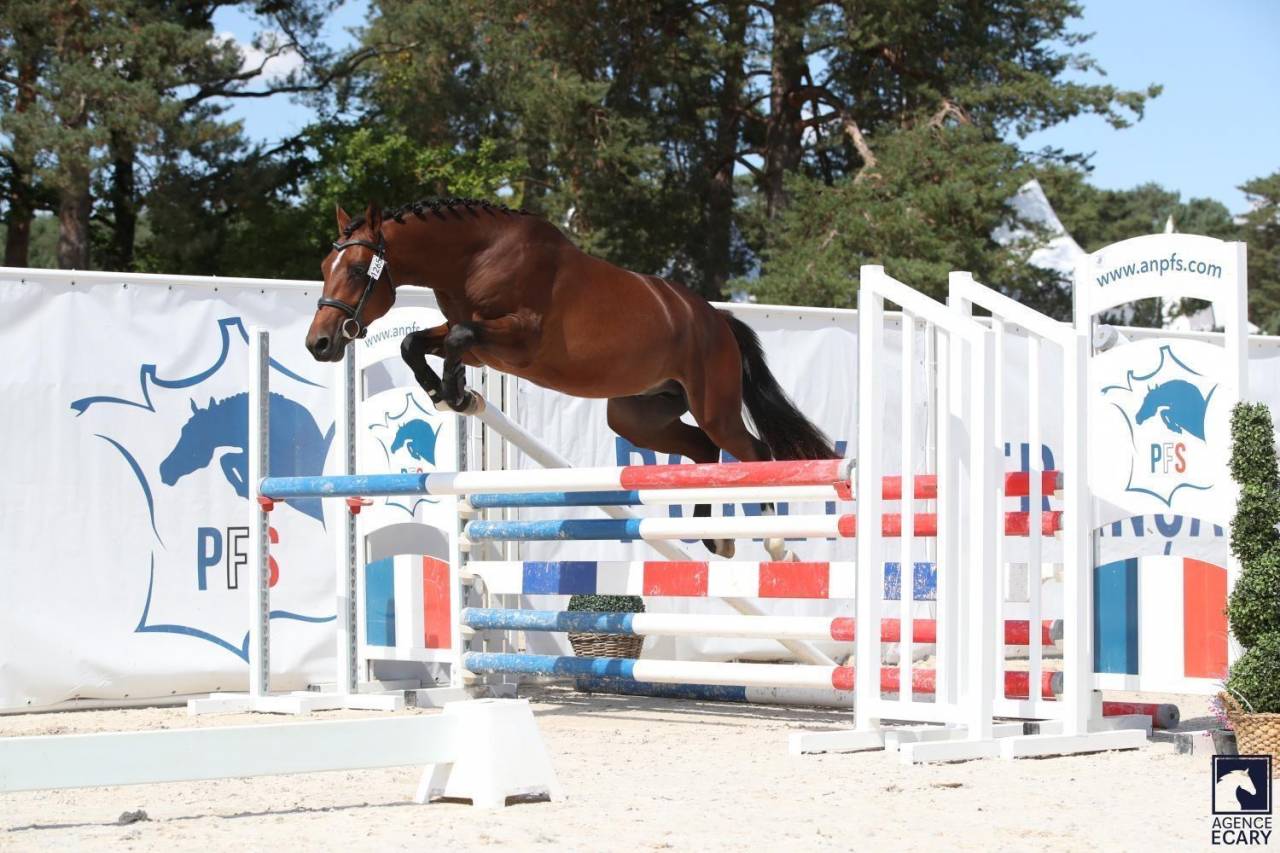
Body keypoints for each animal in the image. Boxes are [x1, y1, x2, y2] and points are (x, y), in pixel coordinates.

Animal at [305, 199, 838, 557]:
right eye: (325, 265)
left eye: (357, 269)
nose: (319, 344)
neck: (477, 257)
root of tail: (718, 319)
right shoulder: (477, 339)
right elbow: (413, 342)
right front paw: (442, 393)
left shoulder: (519, 340)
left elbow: (455, 337)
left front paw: (453, 390)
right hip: (637, 416)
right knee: (703, 451)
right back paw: (713, 537)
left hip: (714, 407)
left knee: (752, 453)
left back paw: (771, 541)